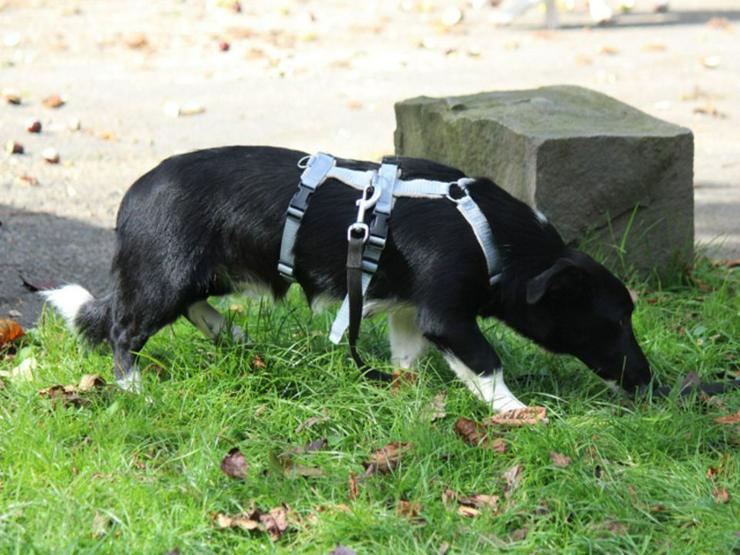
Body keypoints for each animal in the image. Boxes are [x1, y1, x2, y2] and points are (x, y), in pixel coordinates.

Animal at [43, 146, 652, 414]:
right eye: (613, 322)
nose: (651, 383)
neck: (488, 231)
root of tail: (131, 198)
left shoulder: (410, 311)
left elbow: (407, 358)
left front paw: (404, 391)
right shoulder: (448, 316)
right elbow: (487, 366)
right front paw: (517, 413)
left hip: (205, 275)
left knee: (192, 309)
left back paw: (230, 334)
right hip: (165, 277)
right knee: (124, 332)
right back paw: (135, 389)